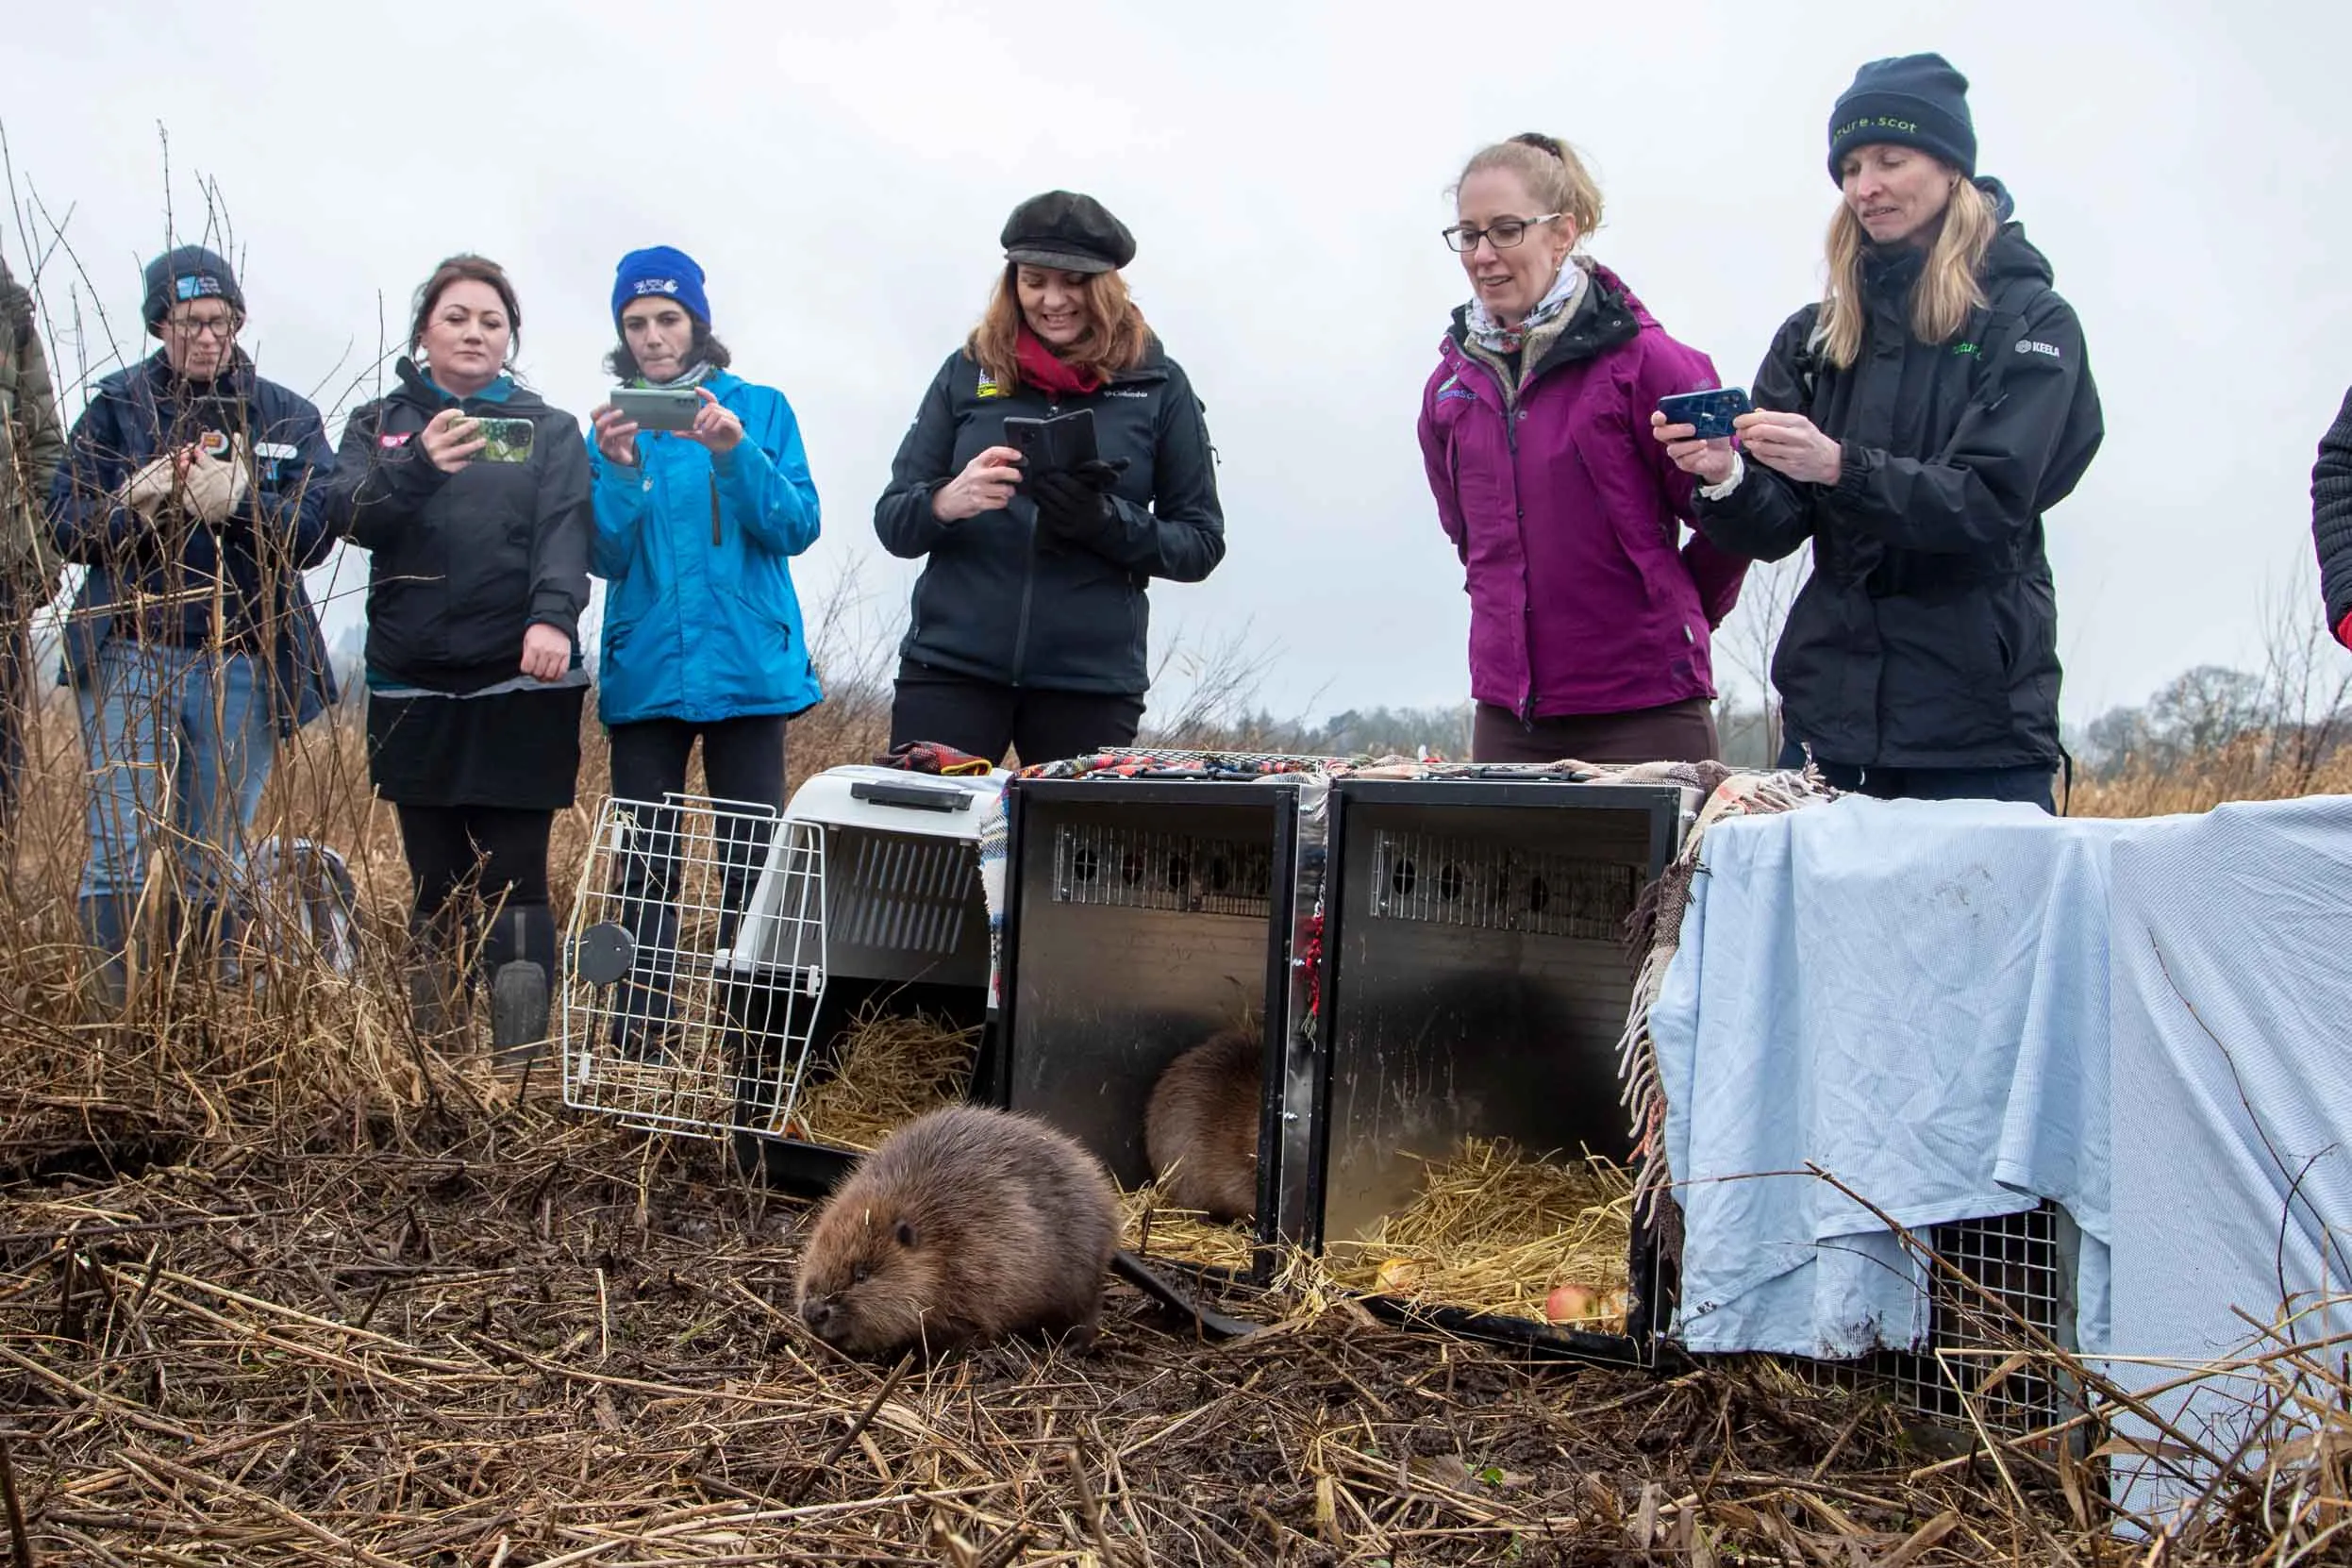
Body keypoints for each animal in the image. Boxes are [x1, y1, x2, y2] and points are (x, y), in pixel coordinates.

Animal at [790, 1105, 1119, 1363]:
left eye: (861, 1275)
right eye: (816, 1255)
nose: (814, 1311)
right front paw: (823, 1351)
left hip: (1079, 1279)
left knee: (1084, 1317)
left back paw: (1070, 1348)